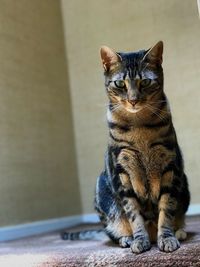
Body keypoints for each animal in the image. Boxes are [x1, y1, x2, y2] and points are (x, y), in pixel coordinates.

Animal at [61, 42, 190, 255]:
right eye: (120, 84)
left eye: (145, 82)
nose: (133, 99)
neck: (139, 127)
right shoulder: (122, 172)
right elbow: (134, 215)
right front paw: (139, 240)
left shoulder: (170, 168)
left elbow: (166, 210)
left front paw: (167, 238)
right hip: (103, 188)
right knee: (114, 230)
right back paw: (127, 239)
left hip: (184, 183)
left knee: (176, 218)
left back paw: (178, 232)